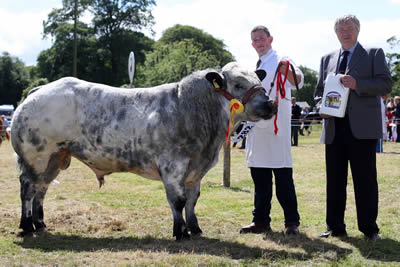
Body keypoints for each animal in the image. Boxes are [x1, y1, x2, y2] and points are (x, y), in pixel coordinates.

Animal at [10, 62, 276, 241]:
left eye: (259, 80)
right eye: (238, 84)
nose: (271, 103)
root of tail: (38, 91)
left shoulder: (195, 171)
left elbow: (192, 200)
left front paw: (195, 228)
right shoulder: (173, 166)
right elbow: (178, 200)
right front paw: (180, 232)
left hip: (55, 158)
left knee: (41, 189)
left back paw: (40, 224)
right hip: (35, 157)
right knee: (28, 189)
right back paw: (26, 226)